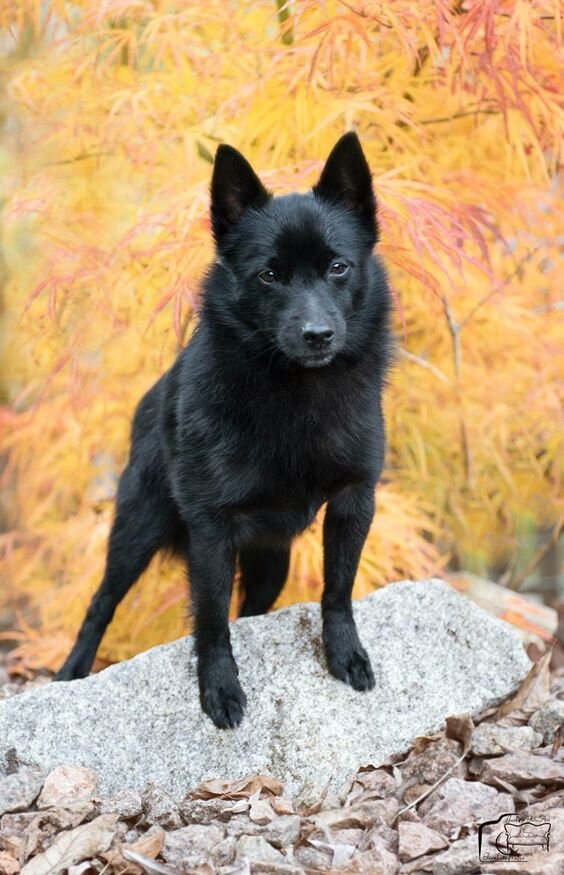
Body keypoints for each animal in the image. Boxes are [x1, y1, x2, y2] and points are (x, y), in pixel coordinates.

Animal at [57, 133, 392, 728]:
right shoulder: (210, 529)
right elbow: (211, 621)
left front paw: (346, 654)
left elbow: (338, 588)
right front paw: (219, 688)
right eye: (268, 274)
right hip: (137, 529)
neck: (295, 393)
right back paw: (71, 672)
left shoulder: (355, 499)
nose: (317, 334)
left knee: (253, 607)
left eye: (338, 267)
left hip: (271, 558)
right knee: (101, 603)